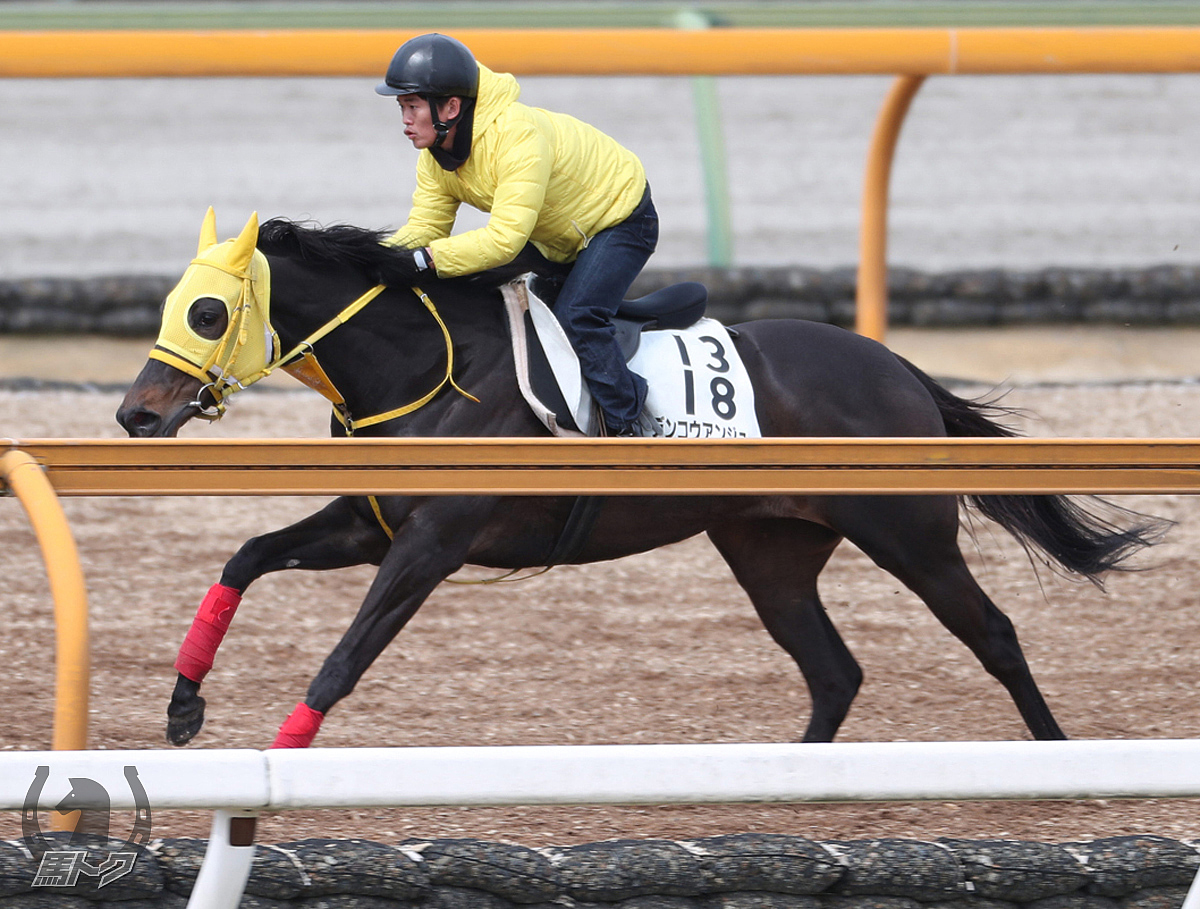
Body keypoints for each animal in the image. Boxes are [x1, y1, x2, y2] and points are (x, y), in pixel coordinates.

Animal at [119, 209, 1161, 753]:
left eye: (208, 311)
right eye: (172, 304)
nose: (137, 414)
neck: (432, 364)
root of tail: (895, 366)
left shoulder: (430, 543)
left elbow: (344, 657)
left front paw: (275, 763)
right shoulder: (368, 523)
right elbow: (245, 556)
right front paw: (183, 704)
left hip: (907, 534)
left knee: (993, 633)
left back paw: (1060, 761)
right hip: (768, 547)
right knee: (834, 668)